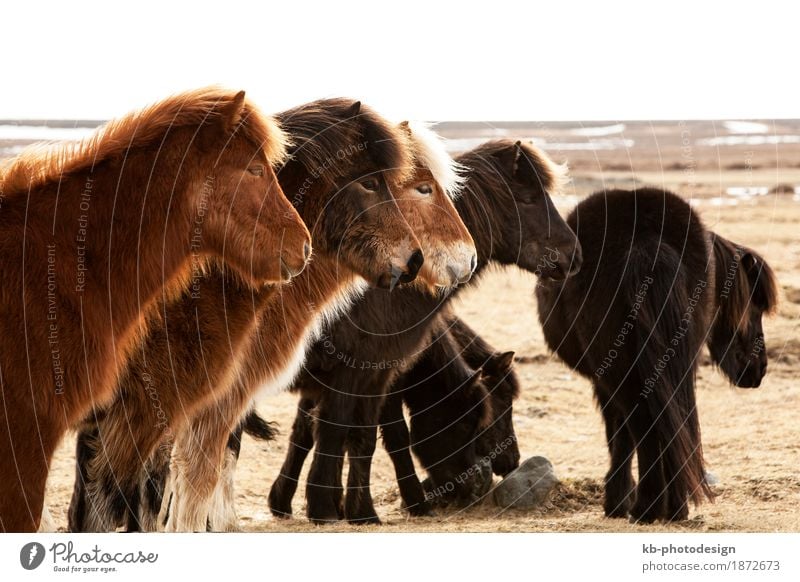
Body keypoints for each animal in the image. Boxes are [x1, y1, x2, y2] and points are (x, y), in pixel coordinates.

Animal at [268, 139, 580, 528]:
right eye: (527, 199)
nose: (574, 256)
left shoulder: (371, 377)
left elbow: (343, 436)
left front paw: (341, 508)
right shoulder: (357, 372)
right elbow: (345, 433)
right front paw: (331, 508)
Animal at [536, 188, 780, 524]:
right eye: (751, 307)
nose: (758, 369)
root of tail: (645, 242)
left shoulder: (604, 382)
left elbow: (620, 436)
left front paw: (617, 502)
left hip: (619, 370)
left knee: (644, 427)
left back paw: (646, 508)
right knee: (673, 422)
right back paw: (675, 507)